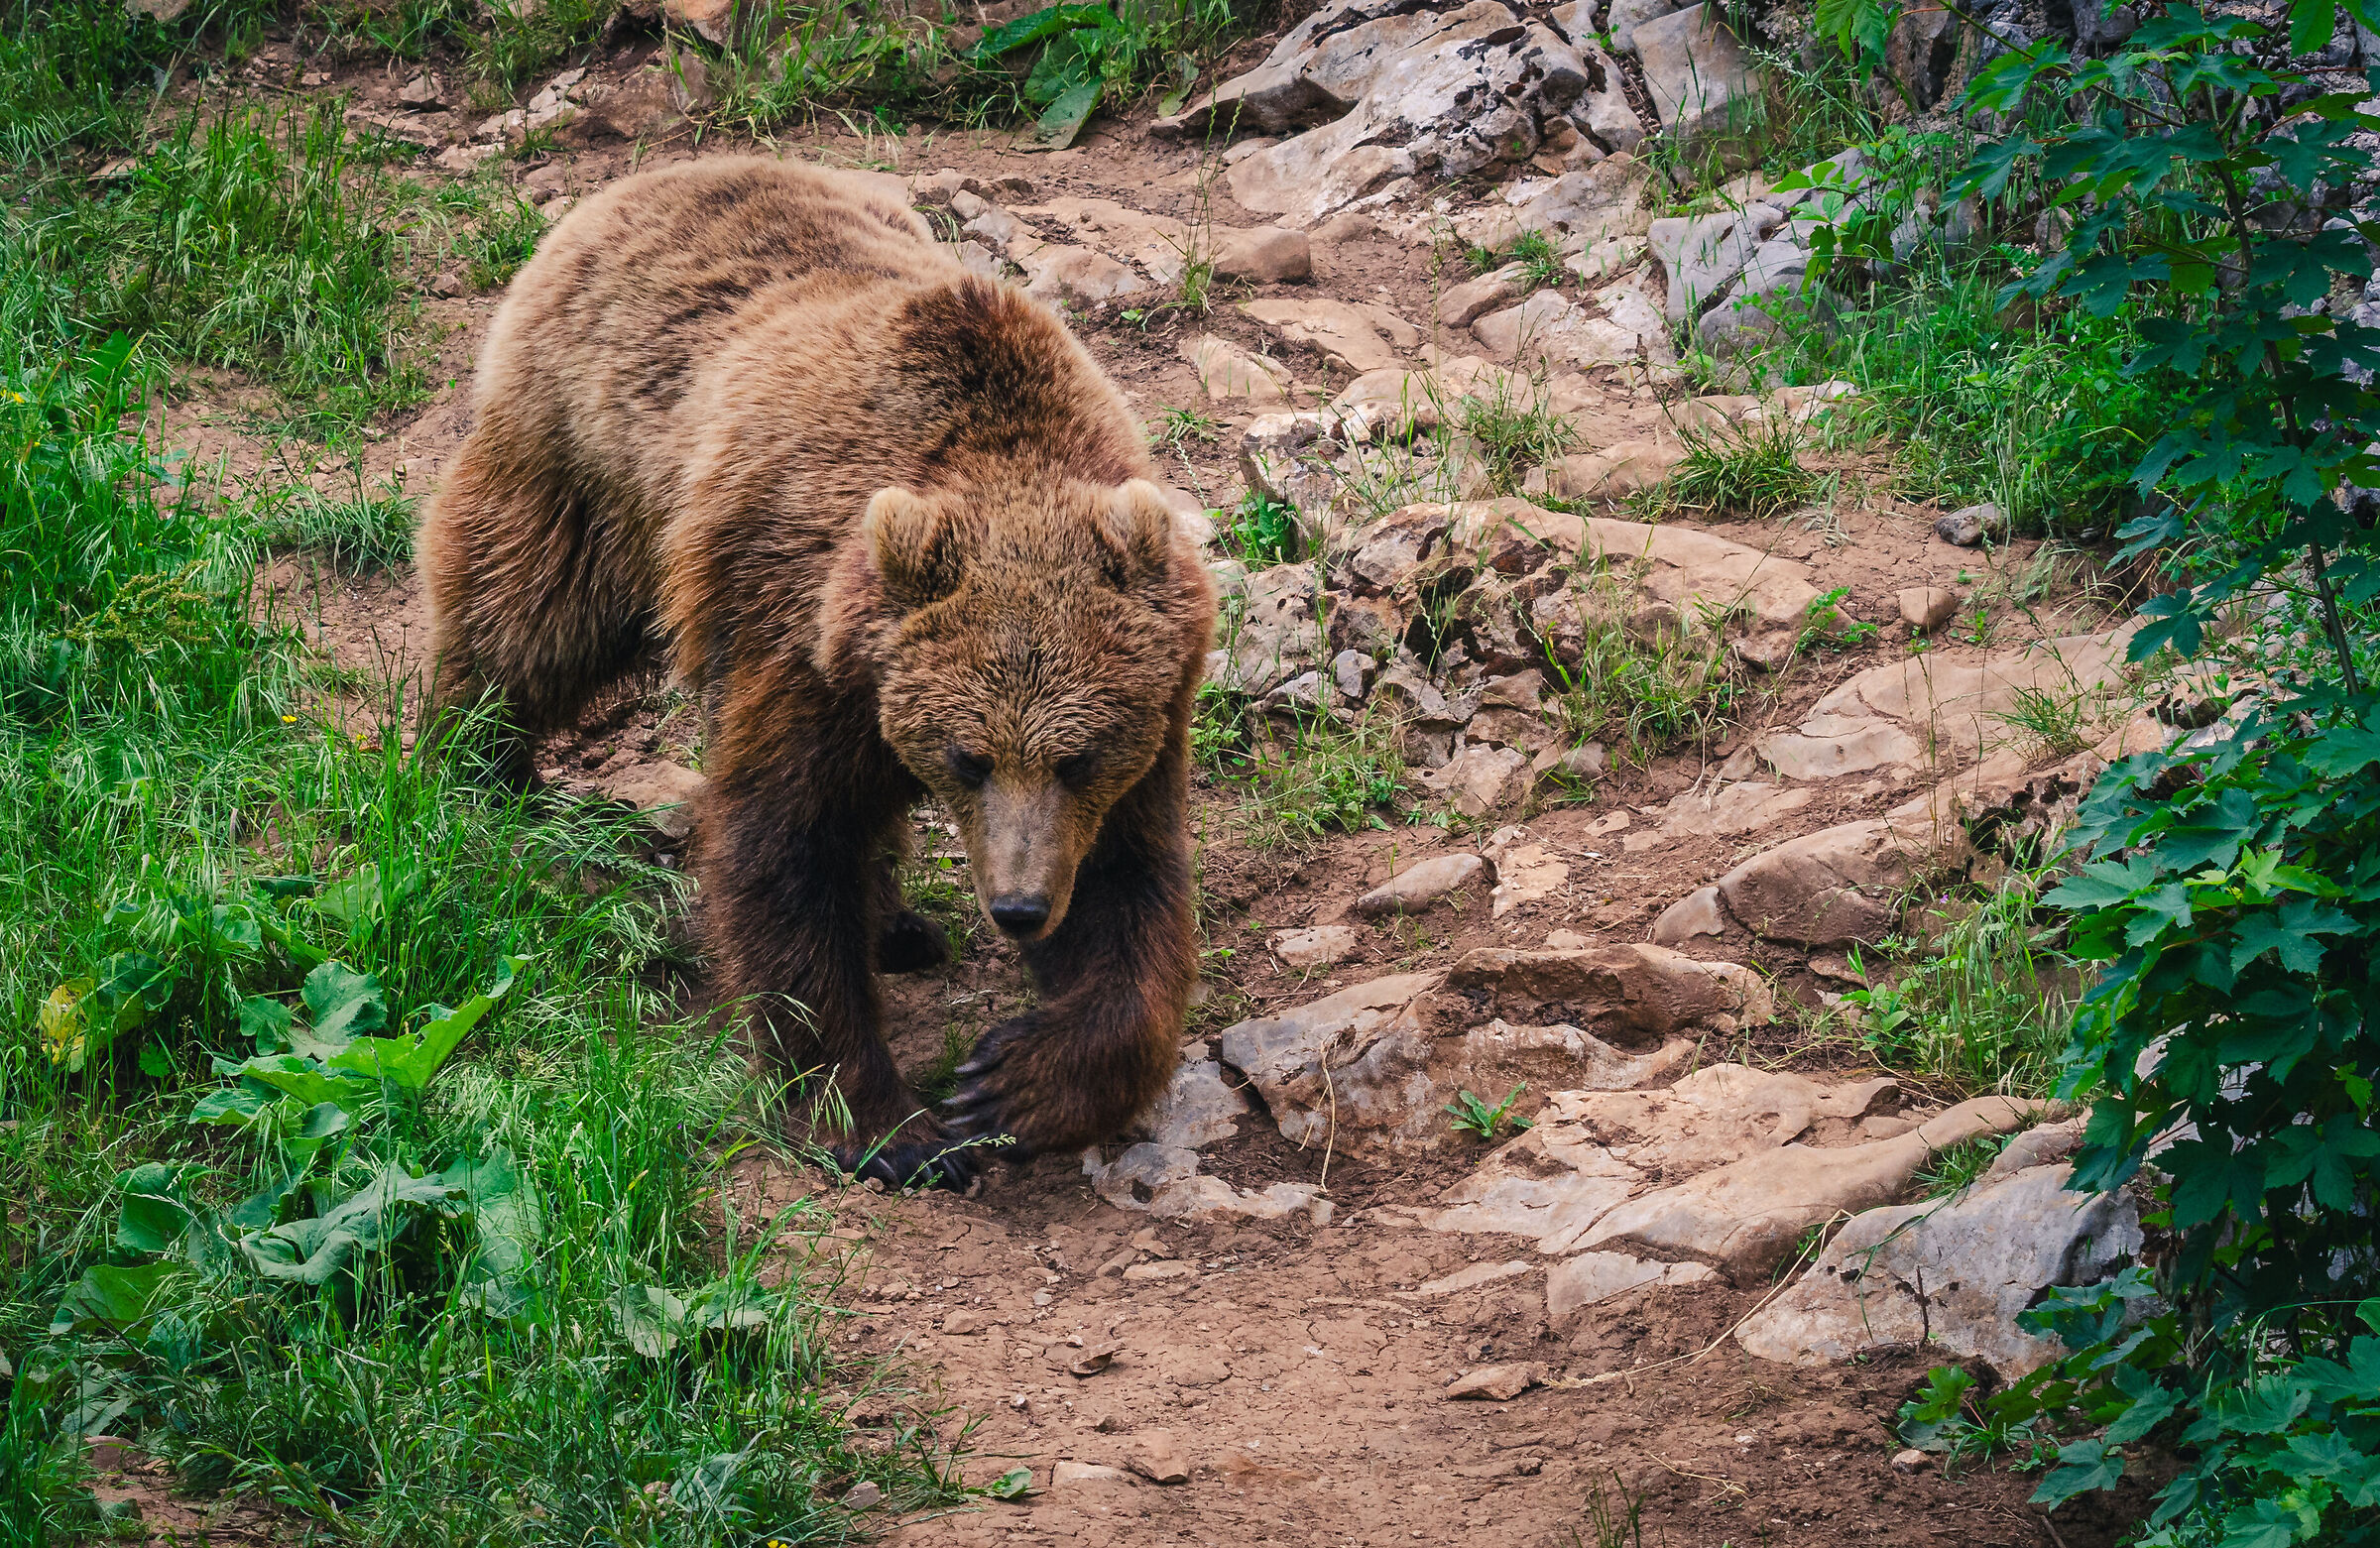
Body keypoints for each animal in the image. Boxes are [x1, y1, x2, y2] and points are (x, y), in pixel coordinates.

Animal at [416, 158, 1216, 1187]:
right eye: (968, 756)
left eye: (1077, 757)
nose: (1018, 906)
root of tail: (671, 171)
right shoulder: (802, 640)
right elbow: (786, 845)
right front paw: (889, 1125)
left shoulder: (1144, 715)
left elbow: (1129, 891)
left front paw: (1015, 1080)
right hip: (590, 464)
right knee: (523, 614)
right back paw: (474, 764)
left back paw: (901, 926)